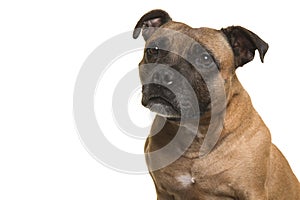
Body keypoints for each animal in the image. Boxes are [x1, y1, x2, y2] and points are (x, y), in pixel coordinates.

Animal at [134, 9, 300, 198]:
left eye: (205, 58)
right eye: (153, 50)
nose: (162, 75)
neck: (196, 135)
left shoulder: (252, 193)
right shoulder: (163, 192)